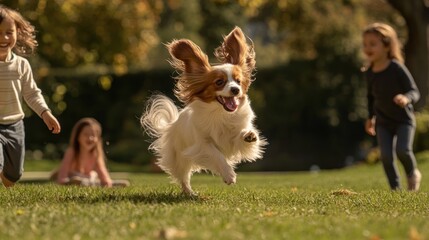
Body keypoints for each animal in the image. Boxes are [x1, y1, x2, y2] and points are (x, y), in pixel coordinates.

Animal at [142, 26, 266, 195]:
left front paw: (249, 135)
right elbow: (216, 155)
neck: (221, 113)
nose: (235, 89)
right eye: (219, 82)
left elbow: (240, 136)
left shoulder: (232, 137)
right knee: (183, 176)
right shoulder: (203, 144)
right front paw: (229, 174)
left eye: (238, 81)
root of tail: (172, 124)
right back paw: (189, 193)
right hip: (179, 157)